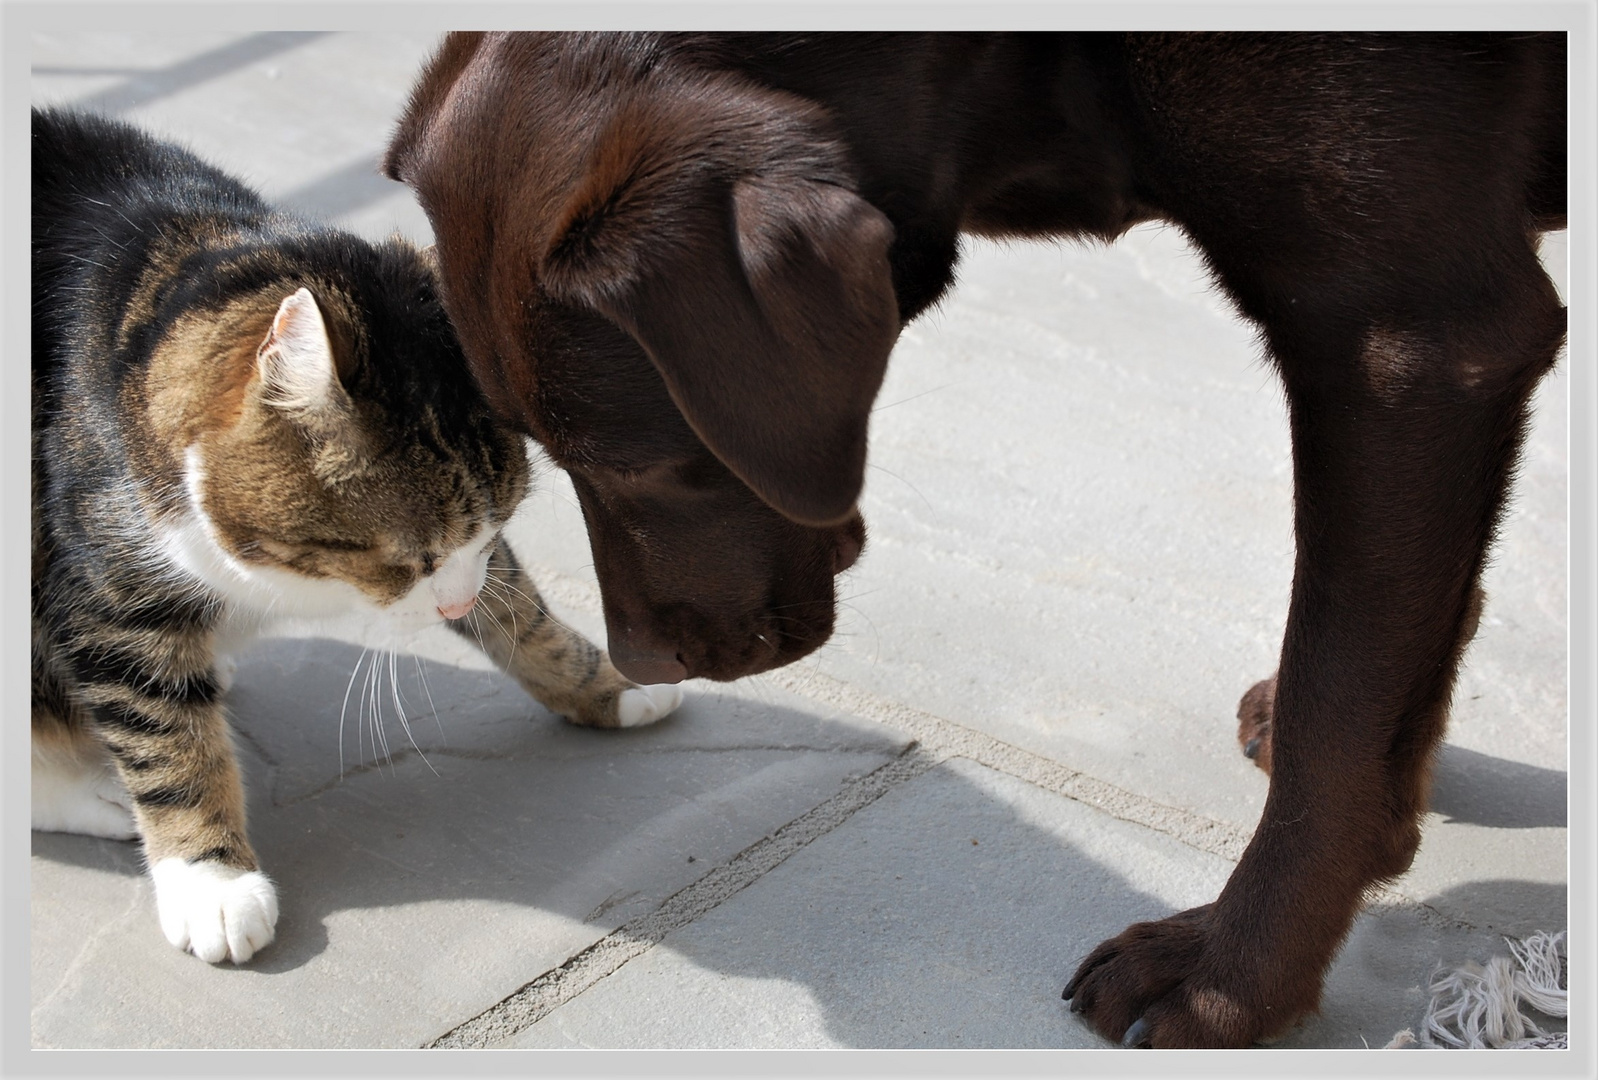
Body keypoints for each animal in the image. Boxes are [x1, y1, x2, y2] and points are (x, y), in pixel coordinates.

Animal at [31, 109, 680, 964]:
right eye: (408, 560)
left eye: (492, 530)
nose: (450, 607)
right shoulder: (108, 587)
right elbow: (163, 732)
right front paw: (211, 881)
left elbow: (521, 612)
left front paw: (609, 683)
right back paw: (105, 796)